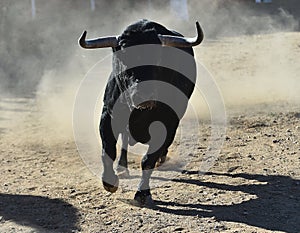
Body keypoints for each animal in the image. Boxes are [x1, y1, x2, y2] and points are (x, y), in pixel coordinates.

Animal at [78, 19, 203, 204]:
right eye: (123, 56)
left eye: (158, 57)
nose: (143, 95)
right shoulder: (108, 116)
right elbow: (108, 151)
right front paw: (110, 182)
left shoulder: (167, 123)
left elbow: (148, 160)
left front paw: (142, 193)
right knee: (124, 141)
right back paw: (122, 168)